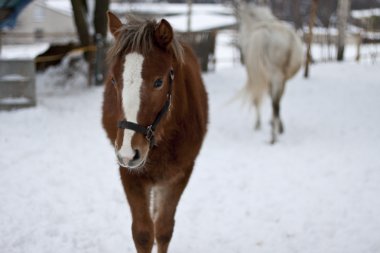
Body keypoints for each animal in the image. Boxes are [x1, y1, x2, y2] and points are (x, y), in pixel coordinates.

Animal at [101, 12, 208, 253]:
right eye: (113, 80)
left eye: (159, 82)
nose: (129, 153)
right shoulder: (129, 174)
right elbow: (143, 233)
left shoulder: (179, 175)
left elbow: (164, 229)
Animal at [238, 3, 302, 144]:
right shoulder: (281, 81)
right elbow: (276, 99)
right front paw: (278, 125)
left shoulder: (257, 77)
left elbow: (257, 100)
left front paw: (259, 124)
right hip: (279, 78)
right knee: (276, 103)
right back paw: (276, 131)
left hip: (273, 76)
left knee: (273, 103)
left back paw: (273, 137)